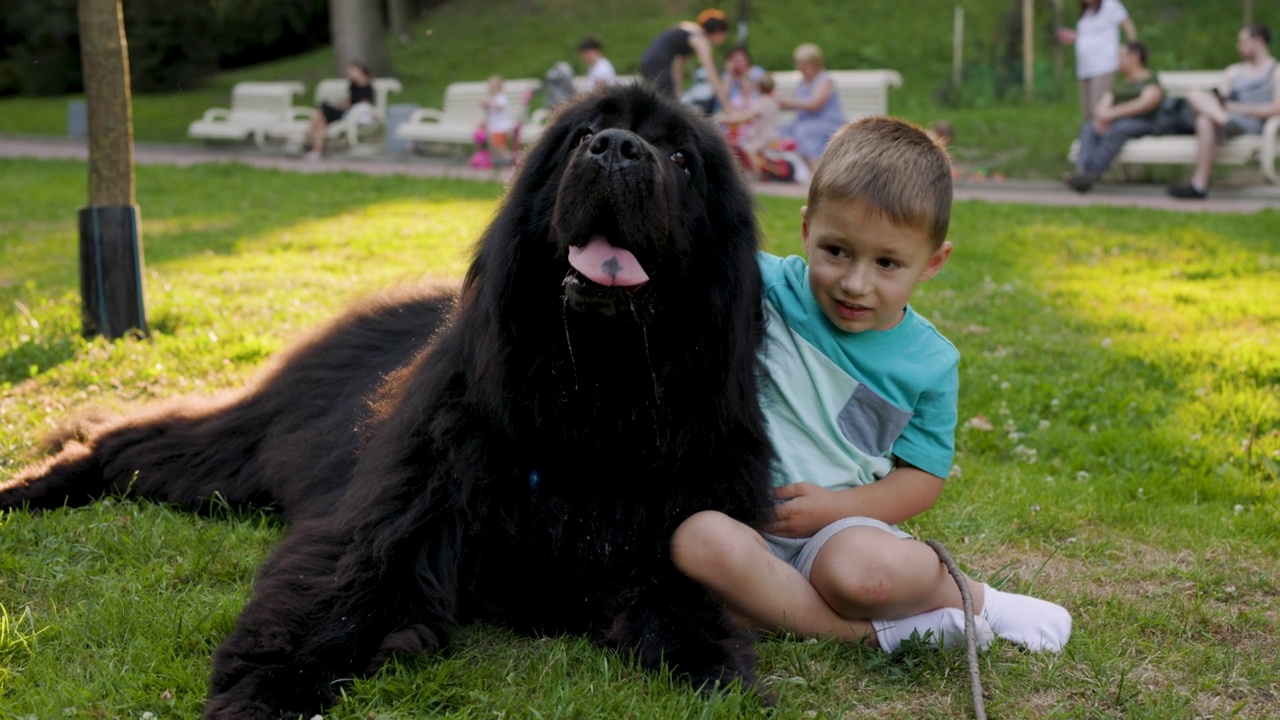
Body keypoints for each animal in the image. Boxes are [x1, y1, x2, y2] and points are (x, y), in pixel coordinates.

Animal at [0, 82, 768, 712]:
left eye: (681, 158)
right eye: (584, 134)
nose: (615, 149)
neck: (594, 389)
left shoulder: (672, 517)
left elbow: (677, 591)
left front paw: (708, 659)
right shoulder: (394, 520)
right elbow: (342, 593)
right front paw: (267, 688)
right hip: (241, 456)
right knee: (128, 443)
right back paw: (29, 487)